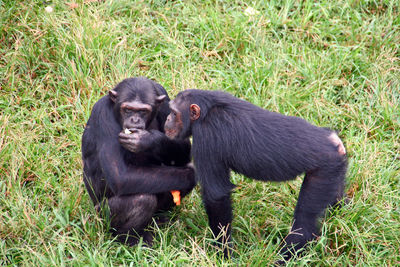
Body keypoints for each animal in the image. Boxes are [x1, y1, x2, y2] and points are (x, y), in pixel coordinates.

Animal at [81, 77, 195, 247]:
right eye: (128, 109)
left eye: (143, 111)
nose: (134, 119)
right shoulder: (103, 115)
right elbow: (120, 176)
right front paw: (192, 175)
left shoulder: (165, 100)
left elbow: (184, 147)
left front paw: (148, 140)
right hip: (101, 217)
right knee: (142, 200)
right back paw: (128, 239)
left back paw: (159, 219)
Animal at [162, 90, 346, 264]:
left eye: (174, 112)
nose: (167, 118)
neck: (206, 112)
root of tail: (334, 142)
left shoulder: (207, 137)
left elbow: (216, 196)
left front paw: (223, 253)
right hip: (335, 170)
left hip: (322, 172)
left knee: (304, 222)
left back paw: (284, 257)